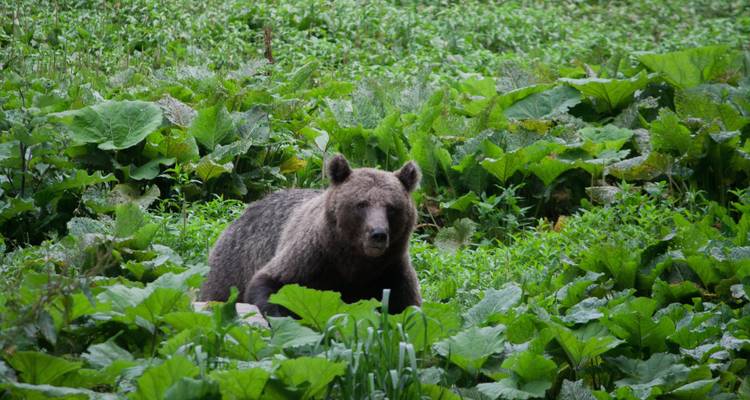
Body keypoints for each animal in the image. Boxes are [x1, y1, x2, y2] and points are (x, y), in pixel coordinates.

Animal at [200, 154, 422, 316]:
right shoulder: (313, 258)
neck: (354, 263)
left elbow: (408, 309)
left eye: (391, 207)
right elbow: (270, 284)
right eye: (361, 204)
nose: (378, 234)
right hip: (233, 264)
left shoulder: (390, 272)